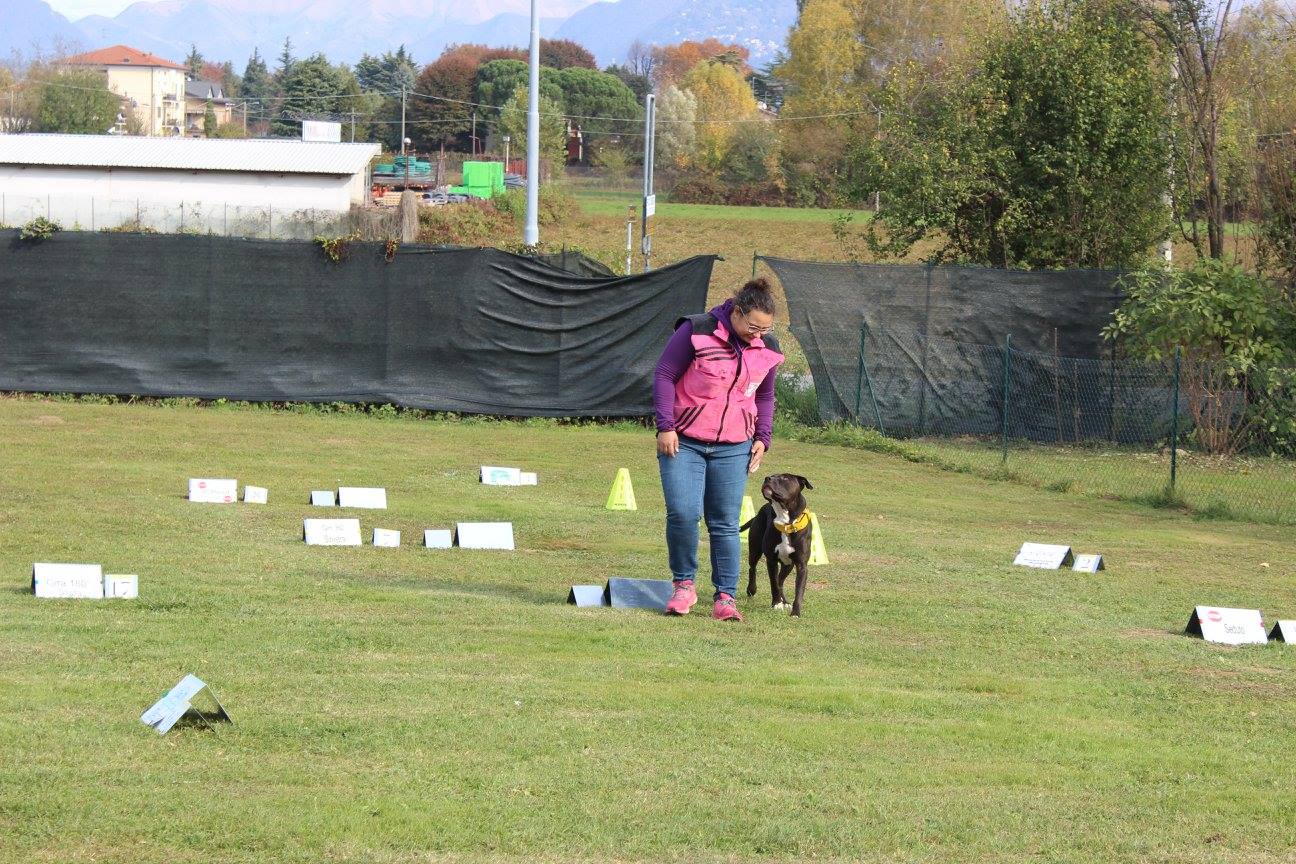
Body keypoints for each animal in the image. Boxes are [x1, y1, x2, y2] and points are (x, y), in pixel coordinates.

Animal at [746, 476, 813, 619]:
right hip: (754, 550)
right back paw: (751, 589)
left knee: (781, 580)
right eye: (772, 475)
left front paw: (795, 612)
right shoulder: (771, 561)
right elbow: (773, 583)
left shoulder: (801, 565)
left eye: (785, 478)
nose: (767, 478)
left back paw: (785, 601)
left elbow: (798, 591)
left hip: (788, 564)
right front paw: (776, 603)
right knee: (753, 568)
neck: (786, 522)